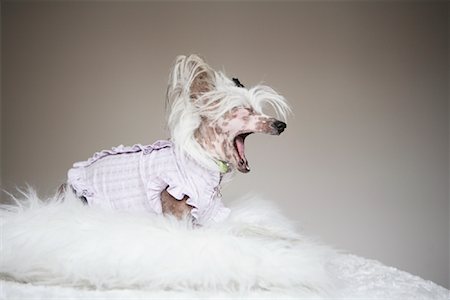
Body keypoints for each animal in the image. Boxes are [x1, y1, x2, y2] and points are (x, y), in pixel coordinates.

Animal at [61, 55, 290, 226]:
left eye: (258, 110)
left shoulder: (209, 213)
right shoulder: (178, 213)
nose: (281, 125)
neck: (202, 158)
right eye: (243, 111)